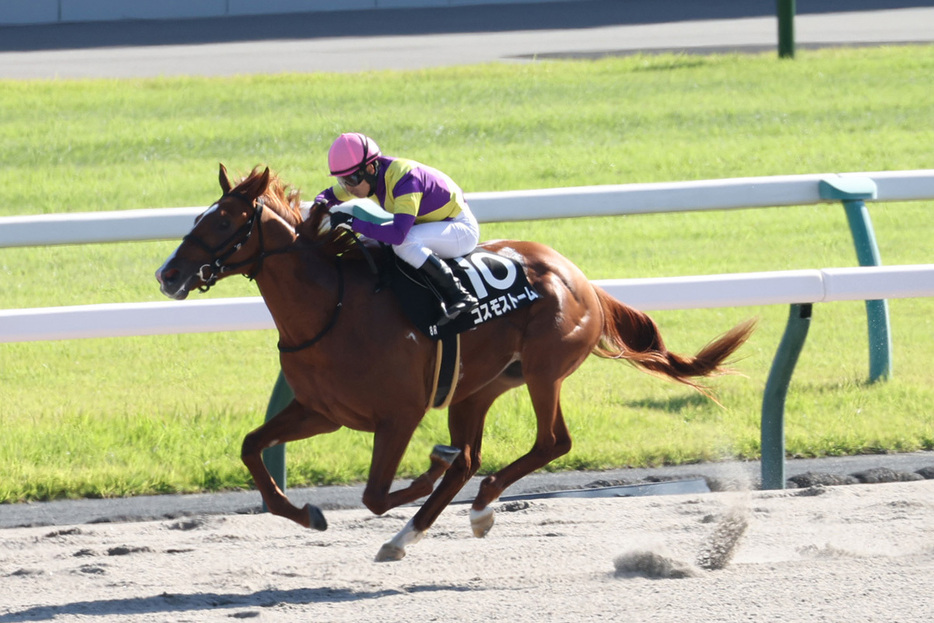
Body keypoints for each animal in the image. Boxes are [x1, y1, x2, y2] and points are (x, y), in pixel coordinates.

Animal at [154, 165, 752, 560]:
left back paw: (476, 505)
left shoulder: (399, 414)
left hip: (543, 371)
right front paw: (309, 514)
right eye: (200, 215)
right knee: (473, 456)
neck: (333, 307)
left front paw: (428, 469)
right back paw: (419, 530)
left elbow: (376, 493)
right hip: (477, 387)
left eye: (224, 220)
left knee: (550, 443)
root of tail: (580, 278)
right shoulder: (322, 411)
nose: (167, 273)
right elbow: (252, 448)